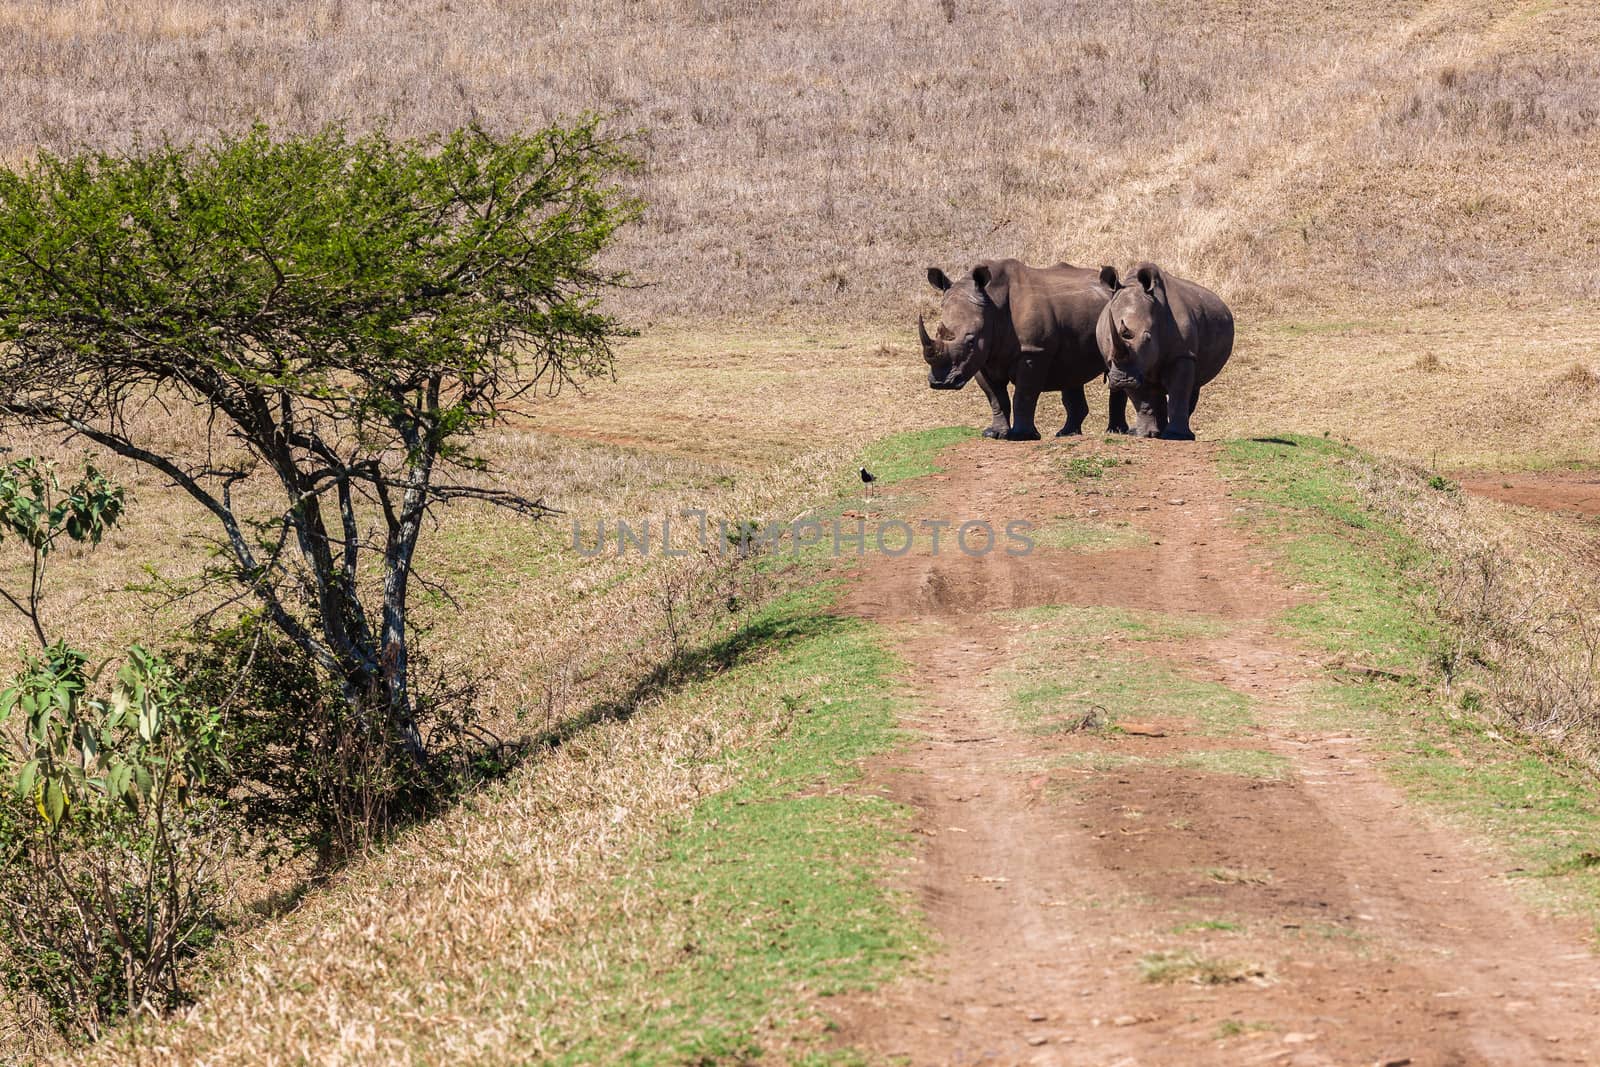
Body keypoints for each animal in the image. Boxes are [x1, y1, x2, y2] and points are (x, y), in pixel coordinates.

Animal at [915, 259, 1126, 438]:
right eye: (937, 333)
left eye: (971, 341)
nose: (942, 383)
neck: (992, 303)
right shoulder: (982, 357)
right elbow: (996, 397)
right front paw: (994, 434)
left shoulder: (1032, 351)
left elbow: (1024, 394)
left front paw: (1021, 436)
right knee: (1072, 370)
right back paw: (1066, 434)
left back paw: (1115, 432)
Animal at [1094, 263, 1228, 441]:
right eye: (1108, 338)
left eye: (1148, 338)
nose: (1122, 380)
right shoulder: (1128, 366)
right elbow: (1140, 399)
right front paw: (1146, 435)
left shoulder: (1182, 354)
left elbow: (1179, 392)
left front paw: (1176, 436)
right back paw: (1157, 433)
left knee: (1193, 385)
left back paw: (1176, 433)